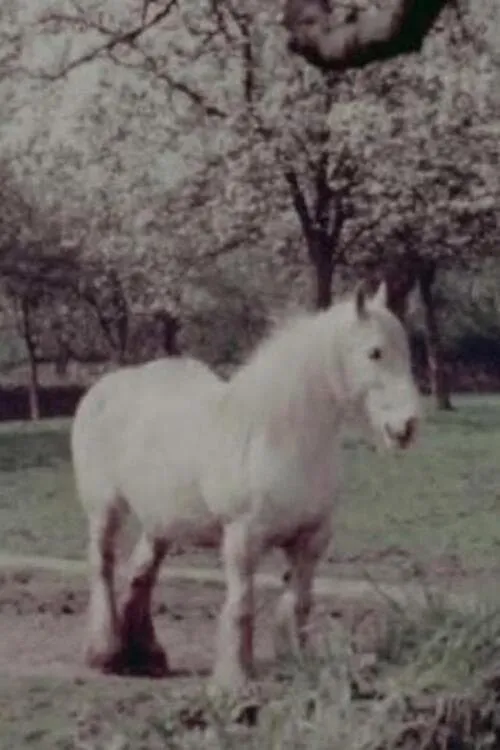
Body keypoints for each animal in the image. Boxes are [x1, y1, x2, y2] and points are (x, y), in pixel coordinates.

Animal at [71, 284, 422, 692]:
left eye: (406, 350)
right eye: (375, 352)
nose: (406, 426)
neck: (279, 437)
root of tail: (103, 389)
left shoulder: (312, 538)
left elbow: (298, 604)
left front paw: (295, 663)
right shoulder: (242, 537)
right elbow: (241, 605)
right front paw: (233, 681)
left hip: (159, 524)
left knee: (142, 574)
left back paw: (146, 656)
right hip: (104, 510)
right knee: (102, 566)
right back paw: (105, 653)